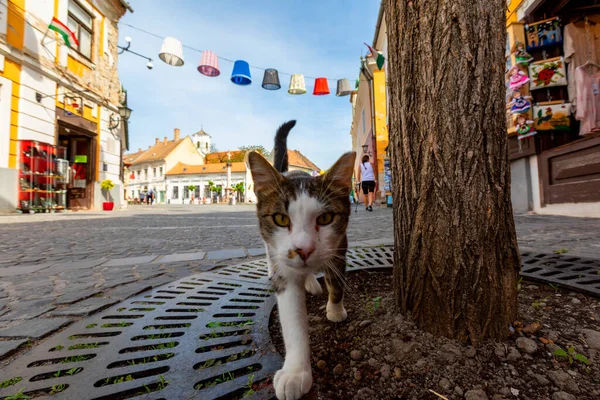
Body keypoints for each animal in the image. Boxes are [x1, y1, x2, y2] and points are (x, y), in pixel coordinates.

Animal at [245, 121, 354, 400]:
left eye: (325, 218)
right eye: (281, 219)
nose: (303, 250)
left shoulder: (339, 247)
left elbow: (336, 284)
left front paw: (335, 309)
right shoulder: (285, 271)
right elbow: (292, 319)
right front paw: (295, 373)